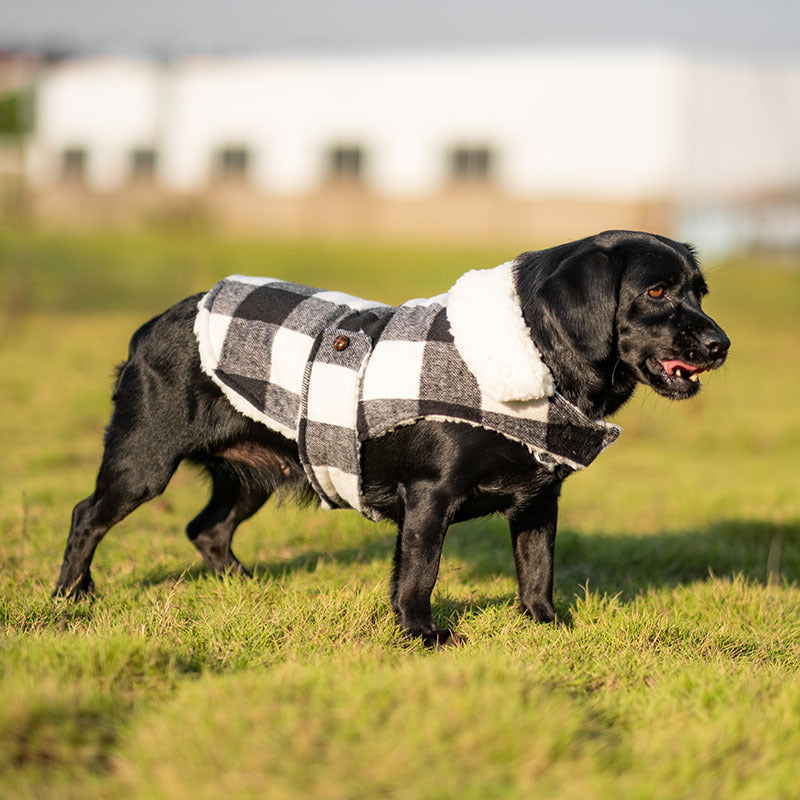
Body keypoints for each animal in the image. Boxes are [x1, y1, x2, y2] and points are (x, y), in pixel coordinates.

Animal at [54, 228, 732, 648]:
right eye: (654, 291)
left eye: (700, 291)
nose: (720, 343)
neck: (531, 355)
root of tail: (153, 324)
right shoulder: (429, 494)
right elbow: (419, 573)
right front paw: (422, 635)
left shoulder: (540, 499)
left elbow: (537, 570)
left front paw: (547, 626)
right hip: (145, 460)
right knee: (87, 515)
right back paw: (71, 598)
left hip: (259, 473)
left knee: (207, 529)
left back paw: (246, 586)